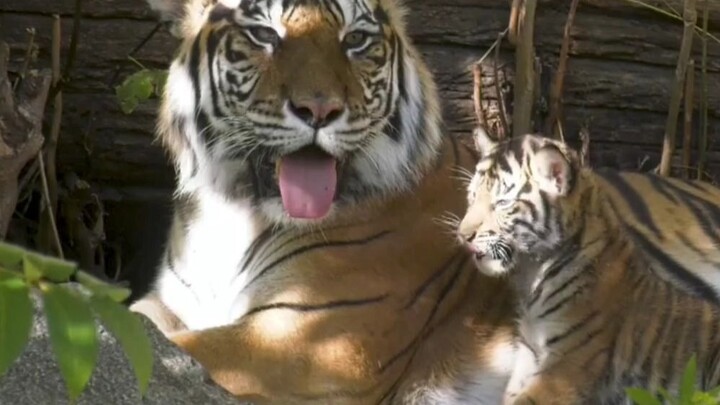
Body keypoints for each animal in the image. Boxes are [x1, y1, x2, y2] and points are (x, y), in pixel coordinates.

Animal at [129, 0, 519, 403]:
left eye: (356, 39)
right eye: (264, 34)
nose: (319, 110)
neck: (235, 209)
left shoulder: (317, 342)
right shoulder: (169, 303)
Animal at [456, 129, 720, 404]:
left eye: (503, 203)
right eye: (472, 196)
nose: (463, 235)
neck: (532, 275)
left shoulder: (566, 368)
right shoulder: (528, 358)